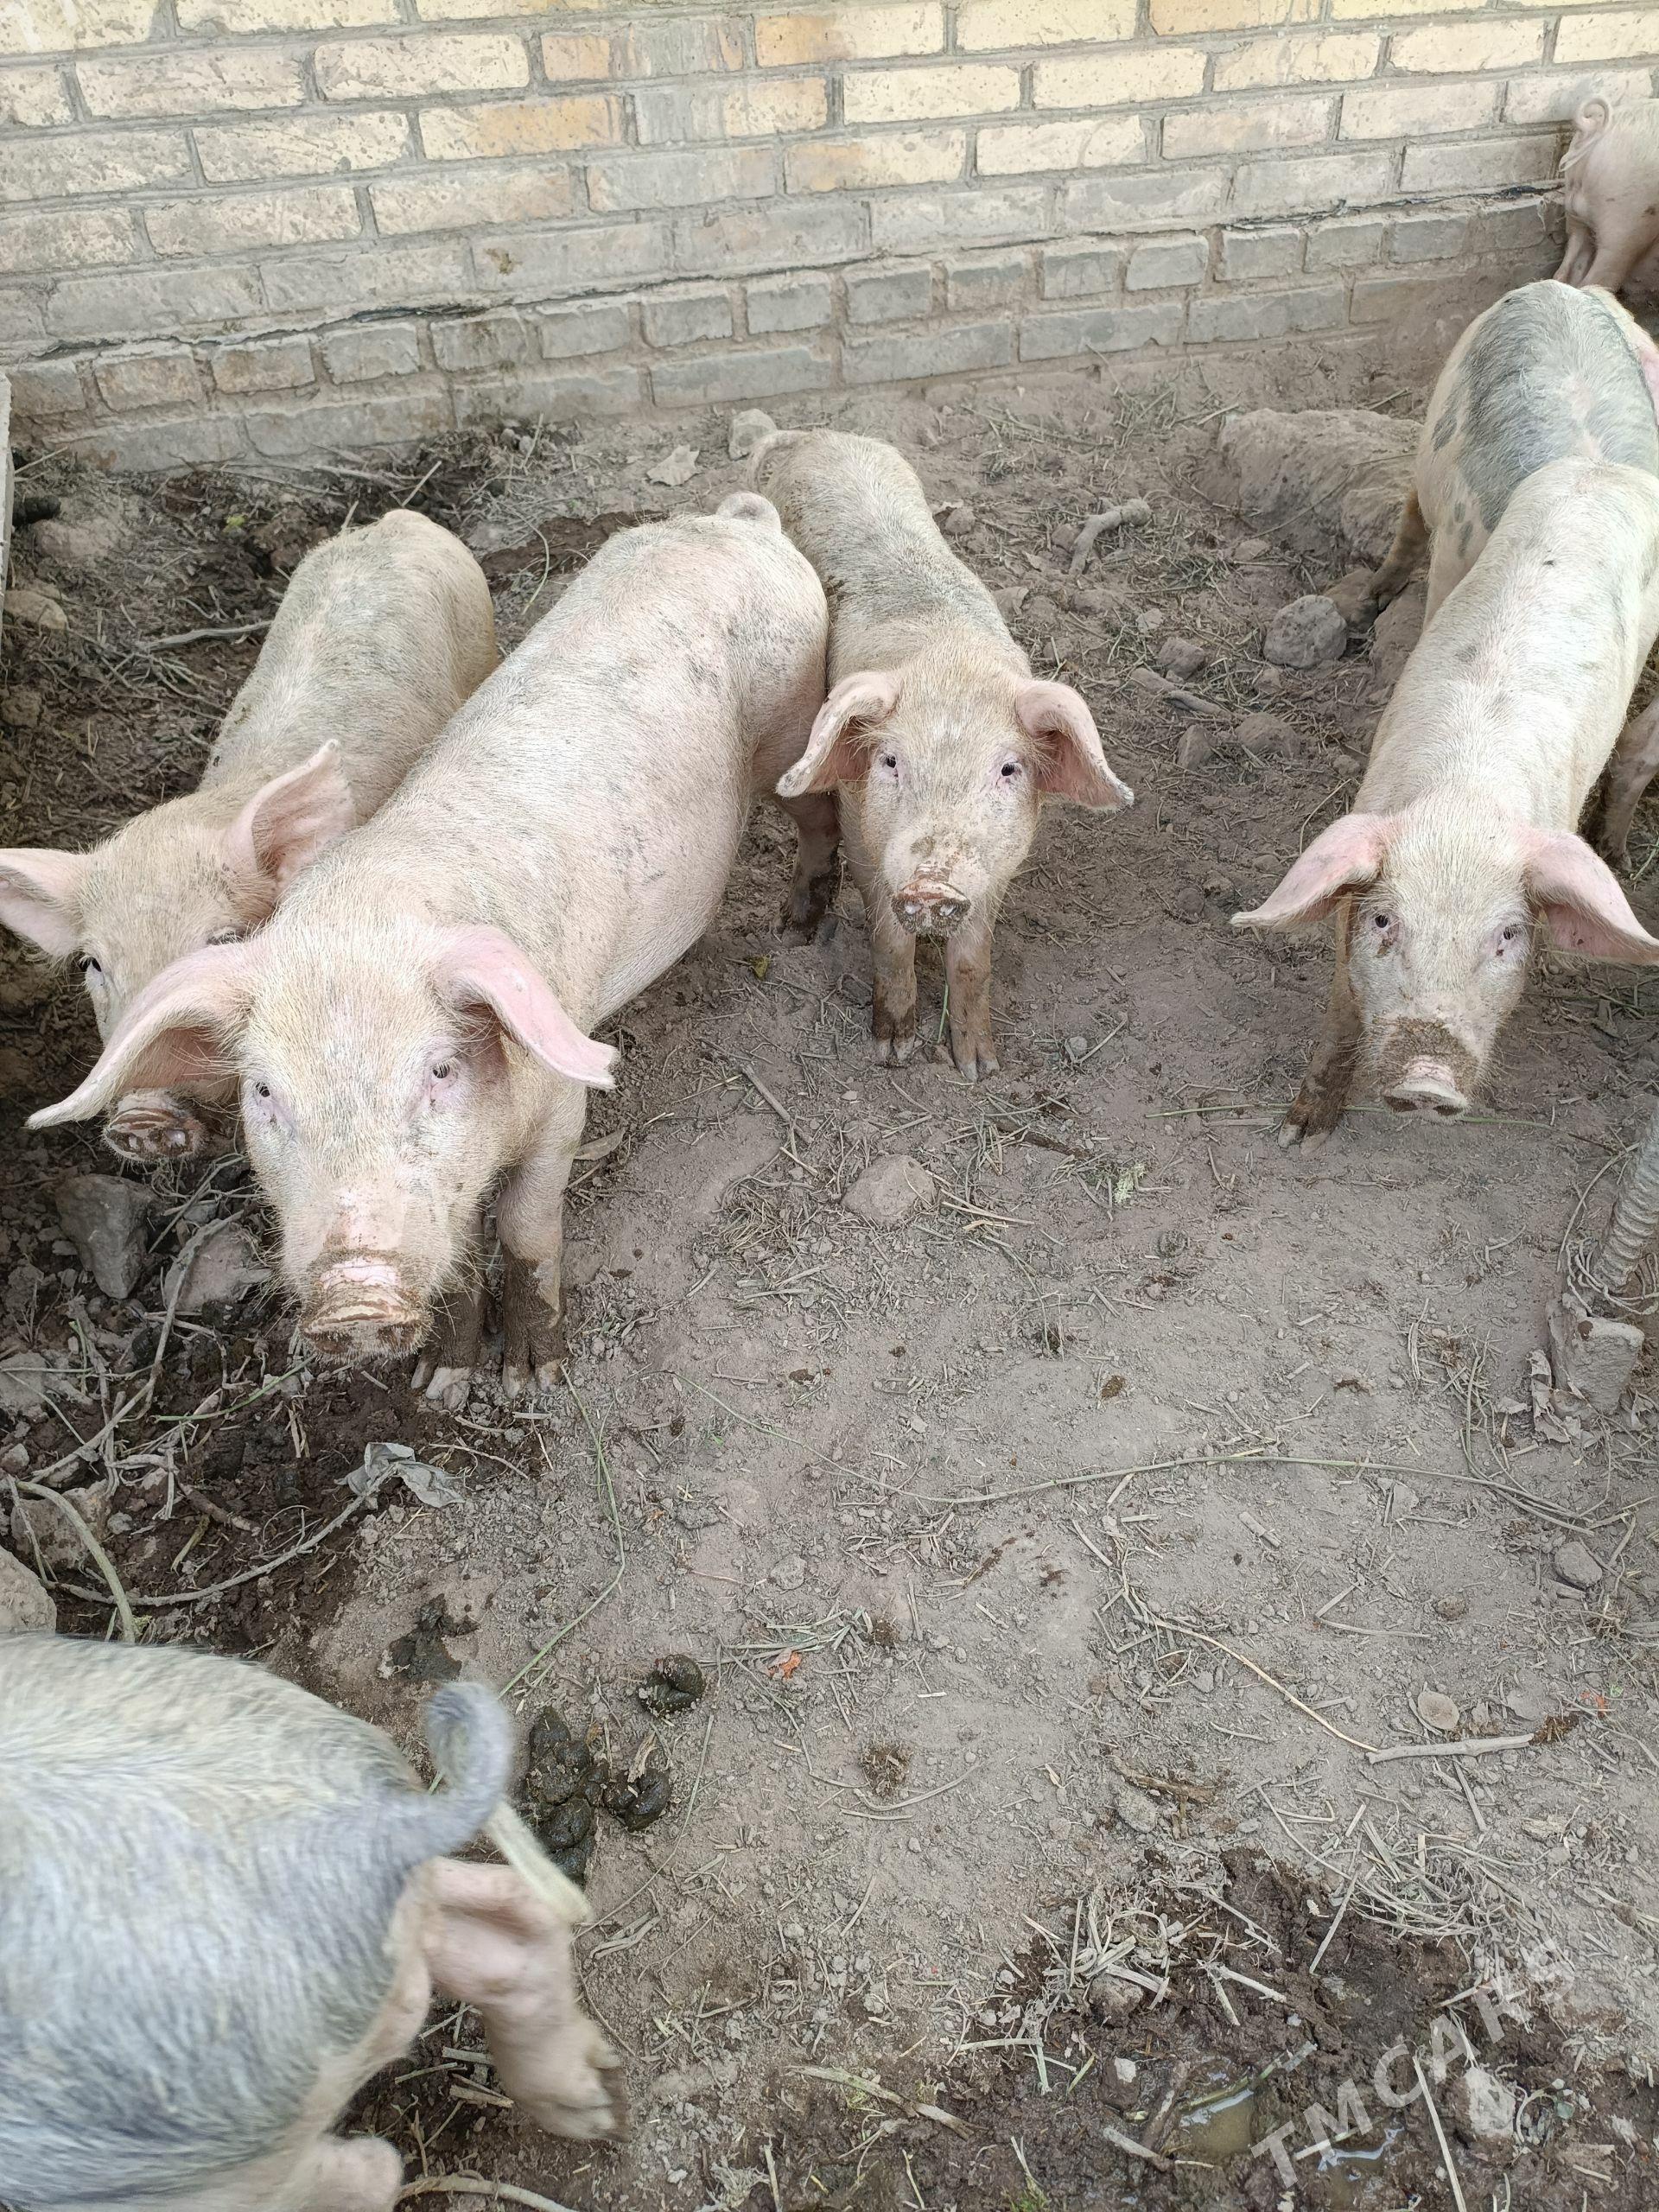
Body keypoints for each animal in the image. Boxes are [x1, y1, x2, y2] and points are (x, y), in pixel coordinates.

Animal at [751, 429, 1131, 1081]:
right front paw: (894, 1051)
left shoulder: (998, 866)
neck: (948, 660)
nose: (932, 882)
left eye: (1008, 769)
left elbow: (974, 960)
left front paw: (979, 1068)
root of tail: (818, 434)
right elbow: (888, 940)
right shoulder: (865, 837)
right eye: (890, 762)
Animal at [1235, 458, 1659, 1148]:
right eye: (1386, 921)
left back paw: (1615, 856)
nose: (1427, 1079)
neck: (1463, 805)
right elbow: (1340, 1014)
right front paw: (1299, 1135)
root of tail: (1603, 467)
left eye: (1508, 934)